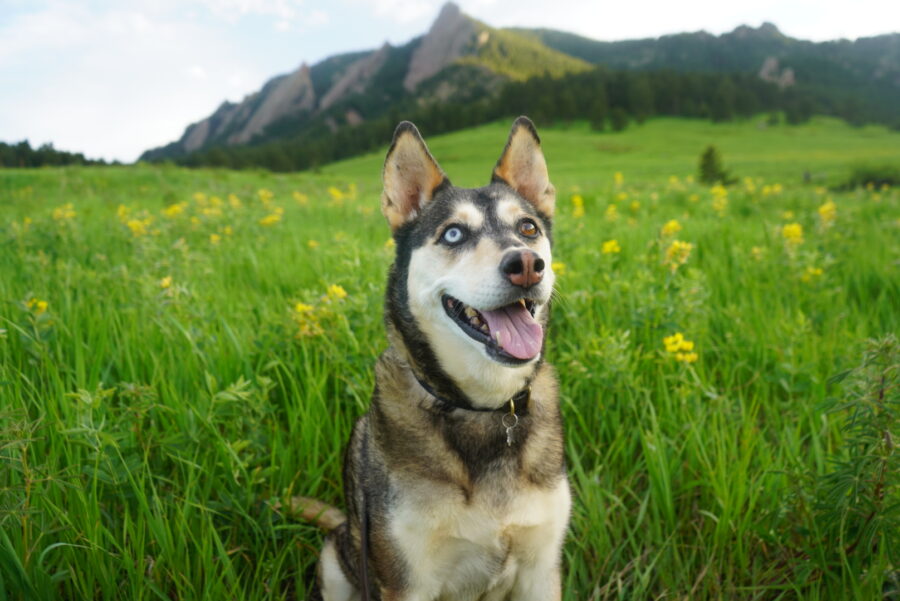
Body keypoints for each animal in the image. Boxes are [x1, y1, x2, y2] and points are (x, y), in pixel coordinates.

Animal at [304, 116, 568, 600]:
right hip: (335, 557)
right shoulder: (407, 580)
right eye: (453, 233)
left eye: (527, 228)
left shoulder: (541, 567)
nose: (526, 264)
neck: (484, 411)